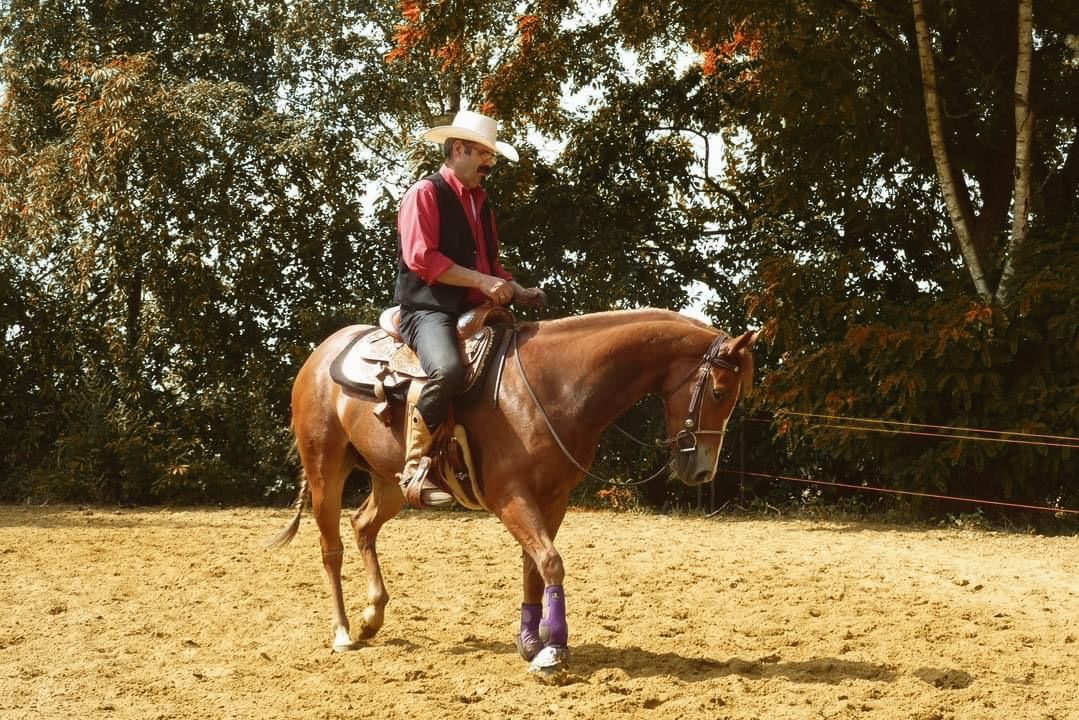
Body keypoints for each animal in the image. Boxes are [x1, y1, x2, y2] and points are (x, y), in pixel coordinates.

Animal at [268, 308, 757, 675]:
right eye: (718, 391)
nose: (702, 470)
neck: (553, 384)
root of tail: (320, 355)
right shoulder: (511, 497)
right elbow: (551, 562)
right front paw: (553, 650)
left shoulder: (551, 500)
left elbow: (534, 567)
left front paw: (529, 641)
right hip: (325, 471)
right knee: (331, 547)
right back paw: (343, 632)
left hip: (390, 483)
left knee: (363, 525)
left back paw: (372, 617)